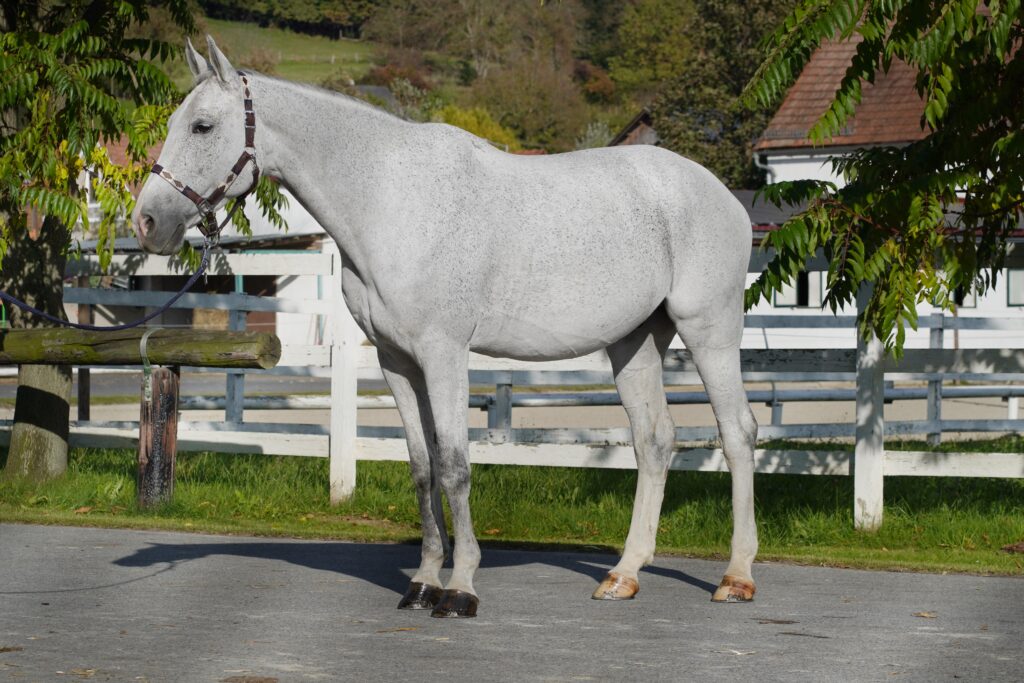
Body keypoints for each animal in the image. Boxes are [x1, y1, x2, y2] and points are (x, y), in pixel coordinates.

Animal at [132, 36, 759, 618]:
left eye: (203, 125)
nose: (147, 221)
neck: (391, 201)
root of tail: (722, 196)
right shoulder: (397, 361)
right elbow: (421, 468)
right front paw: (423, 583)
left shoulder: (444, 354)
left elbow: (456, 466)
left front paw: (460, 589)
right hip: (635, 343)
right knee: (654, 442)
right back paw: (623, 575)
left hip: (709, 332)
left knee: (738, 433)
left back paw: (736, 577)